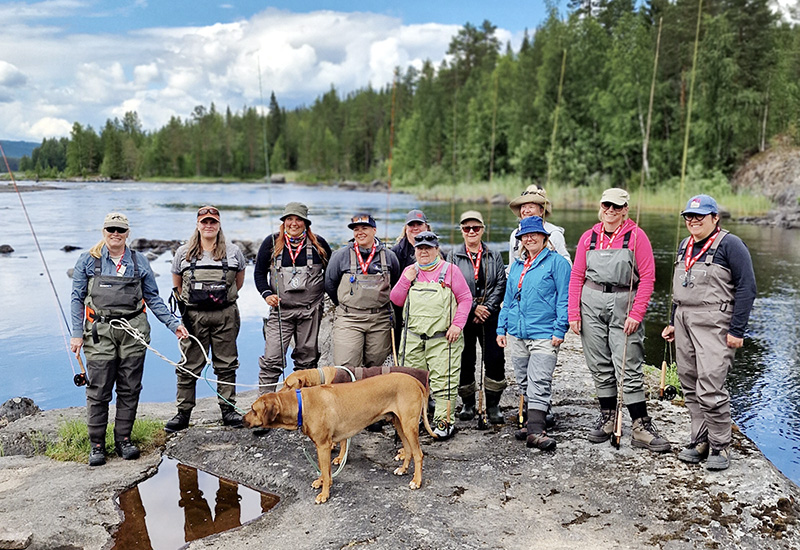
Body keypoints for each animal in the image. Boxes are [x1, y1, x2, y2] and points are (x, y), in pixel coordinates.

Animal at [242, 376, 434, 504]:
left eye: (253, 409)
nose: (242, 419)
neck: (301, 404)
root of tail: (415, 380)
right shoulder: (322, 446)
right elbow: (324, 469)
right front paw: (322, 482)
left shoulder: (323, 445)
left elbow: (326, 472)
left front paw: (324, 494)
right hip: (399, 423)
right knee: (408, 450)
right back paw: (402, 469)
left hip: (408, 424)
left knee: (418, 454)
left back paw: (417, 481)